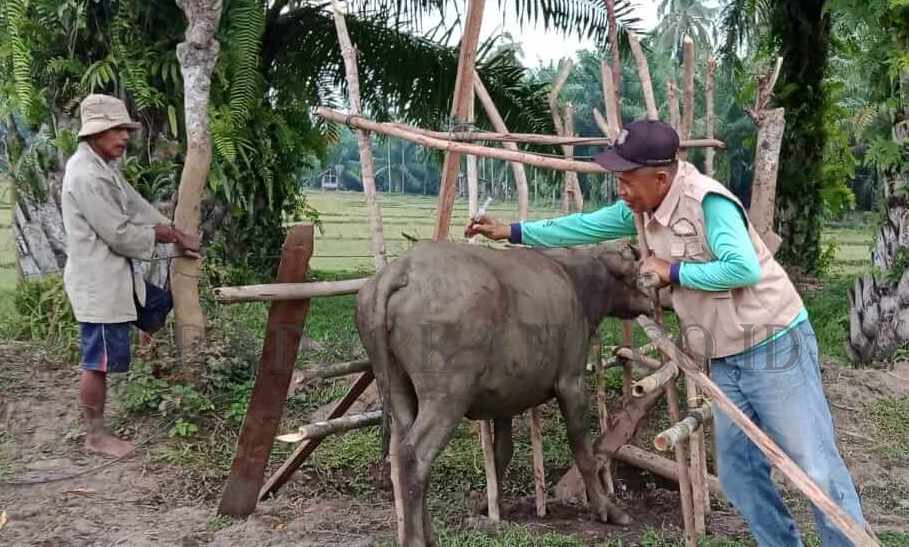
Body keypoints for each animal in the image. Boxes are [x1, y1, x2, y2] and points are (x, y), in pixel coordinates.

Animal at [356, 241, 652, 547]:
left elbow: (502, 452)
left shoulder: (503, 401)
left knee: (399, 455)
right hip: (446, 397)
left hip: (398, 389)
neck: (575, 280)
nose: (652, 303)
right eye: (637, 275)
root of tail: (403, 270)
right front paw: (607, 509)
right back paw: (417, 539)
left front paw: (483, 504)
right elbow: (582, 447)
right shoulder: (571, 381)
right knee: (415, 456)